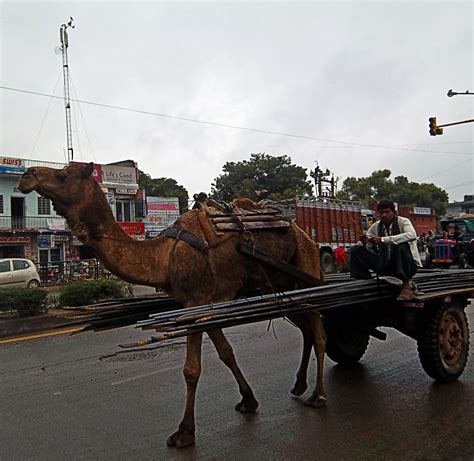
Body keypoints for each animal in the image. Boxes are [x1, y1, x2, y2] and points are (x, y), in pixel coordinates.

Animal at [19, 162, 330, 446]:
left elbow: (192, 370)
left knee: (319, 330)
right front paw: (248, 400)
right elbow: (226, 353)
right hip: (284, 285)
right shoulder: (203, 304)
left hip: (306, 265)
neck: (163, 256)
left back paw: (317, 395)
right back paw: (299, 385)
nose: (27, 176)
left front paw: (184, 433)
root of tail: (303, 233)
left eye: (62, 175)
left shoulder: (196, 300)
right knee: (306, 327)